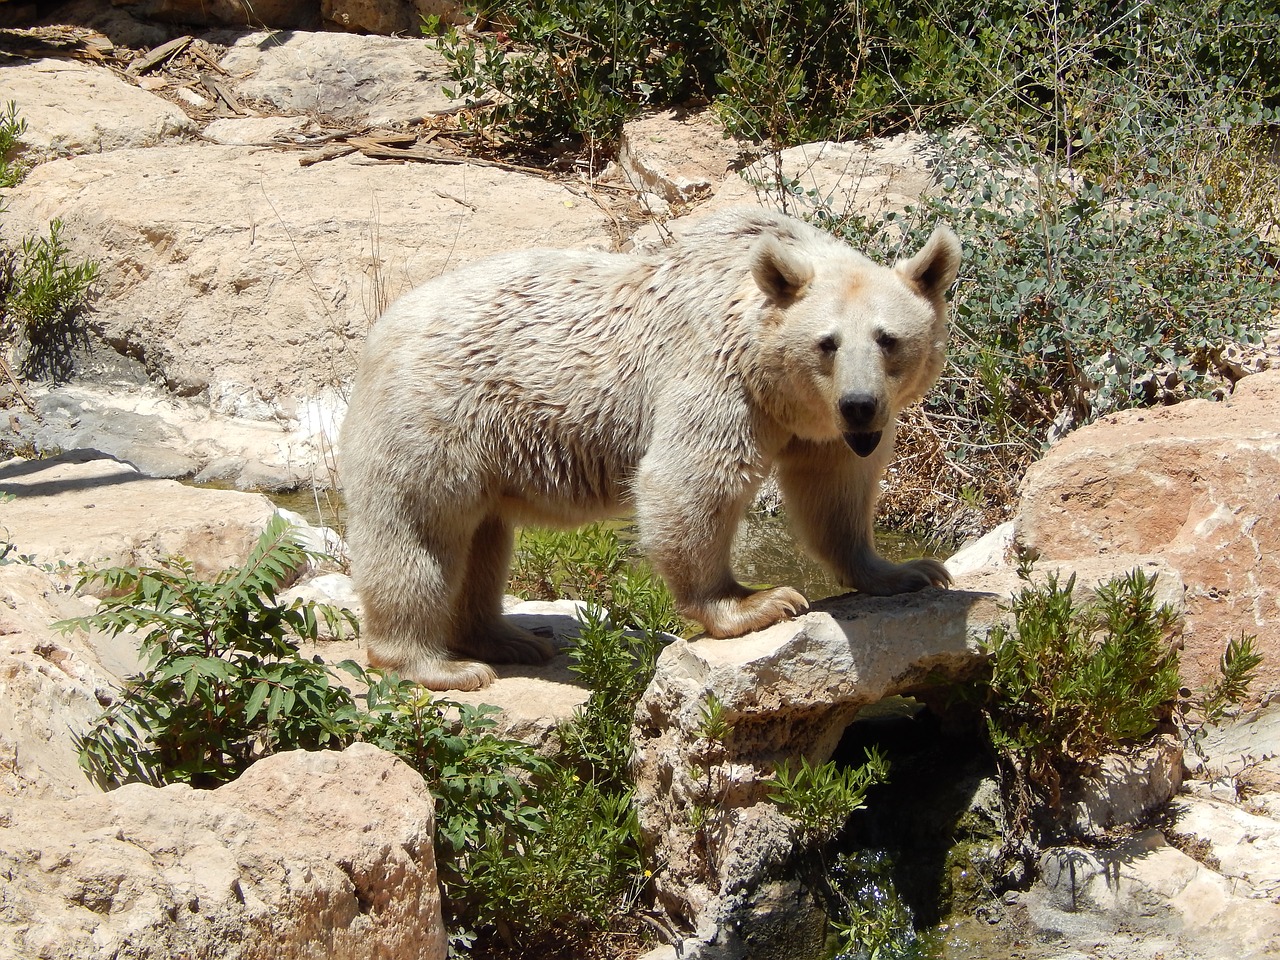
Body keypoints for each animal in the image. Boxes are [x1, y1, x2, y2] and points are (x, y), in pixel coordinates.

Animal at [340, 208, 962, 691]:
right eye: (826, 342)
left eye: (888, 339)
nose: (860, 406)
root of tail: (379, 330)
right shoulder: (716, 368)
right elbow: (693, 480)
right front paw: (757, 602)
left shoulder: (818, 429)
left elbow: (835, 491)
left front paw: (910, 571)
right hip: (435, 419)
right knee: (420, 533)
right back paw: (440, 664)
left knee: (484, 542)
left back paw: (510, 639)